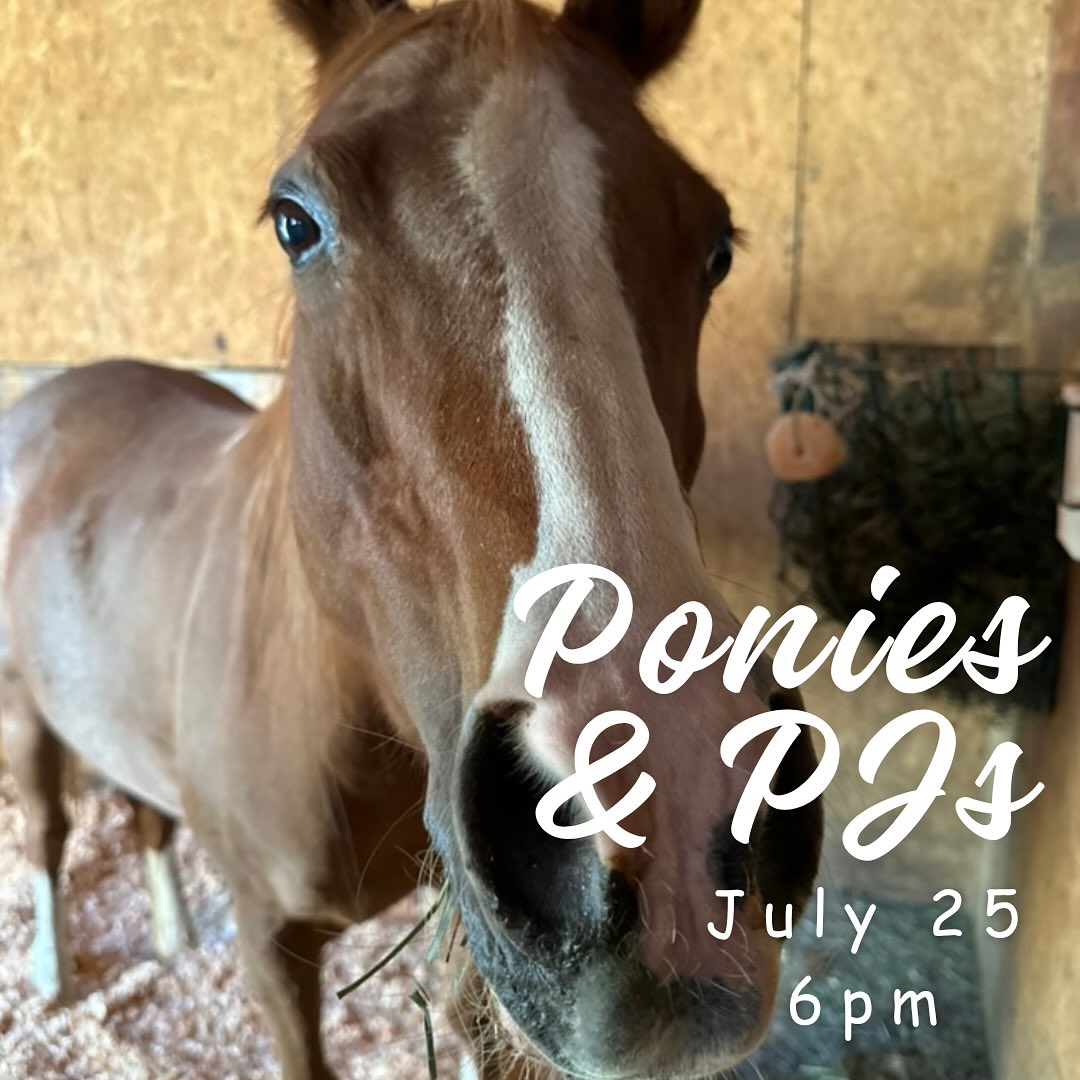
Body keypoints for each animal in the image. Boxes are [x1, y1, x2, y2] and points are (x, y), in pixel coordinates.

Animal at [0, 1, 823, 1077]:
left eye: (718, 247)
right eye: (295, 222)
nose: (673, 817)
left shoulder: (464, 924)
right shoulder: (272, 945)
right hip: (24, 713)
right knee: (49, 830)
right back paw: (52, 969)